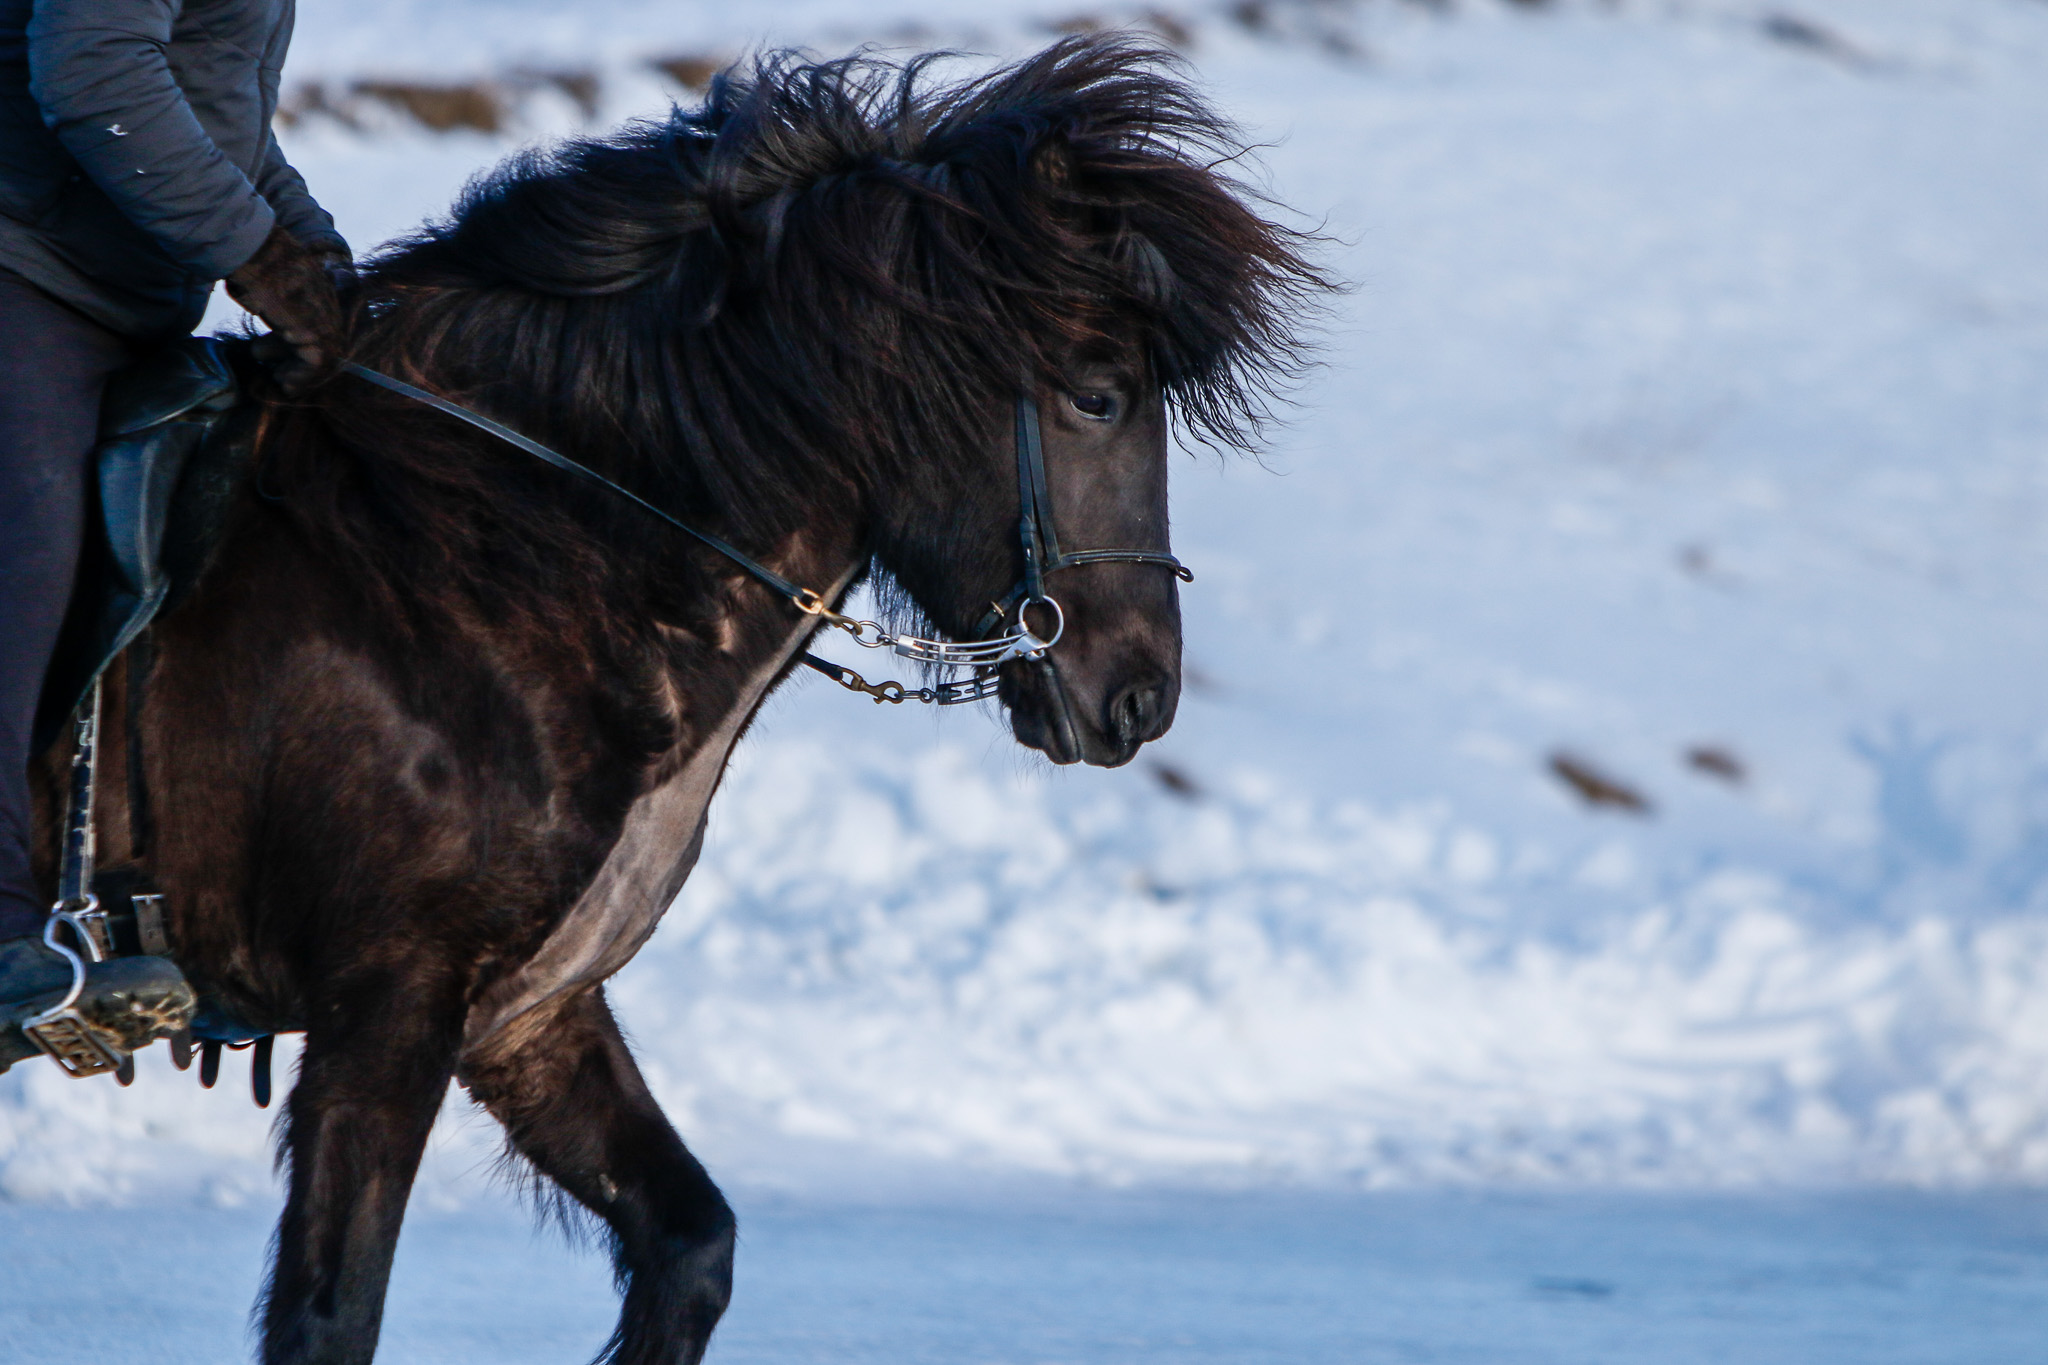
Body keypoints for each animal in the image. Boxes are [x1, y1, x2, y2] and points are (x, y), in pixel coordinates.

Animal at [42, 36, 1324, 1364]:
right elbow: (331, 1317)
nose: (1138, 696)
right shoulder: (383, 1006)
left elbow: (690, 1247)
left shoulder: (526, 1010)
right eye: (1095, 395)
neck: (463, 562)